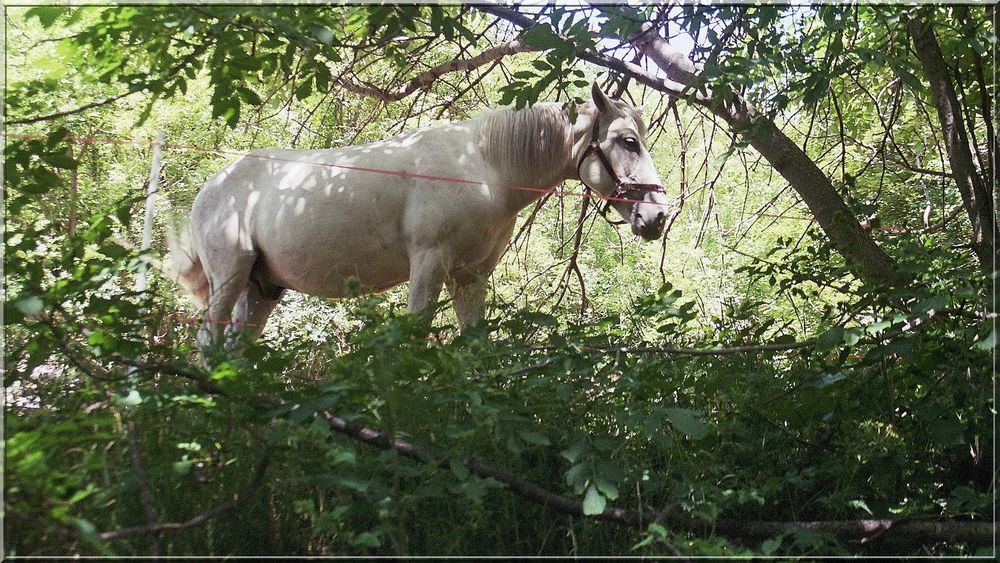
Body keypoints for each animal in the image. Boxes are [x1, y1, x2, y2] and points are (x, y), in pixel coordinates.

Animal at [170, 85, 672, 352]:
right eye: (628, 141)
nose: (657, 216)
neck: (485, 167)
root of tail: (212, 187)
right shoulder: (430, 264)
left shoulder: (470, 277)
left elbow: (476, 348)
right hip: (230, 276)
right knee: (208, 343)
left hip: (260, 290)